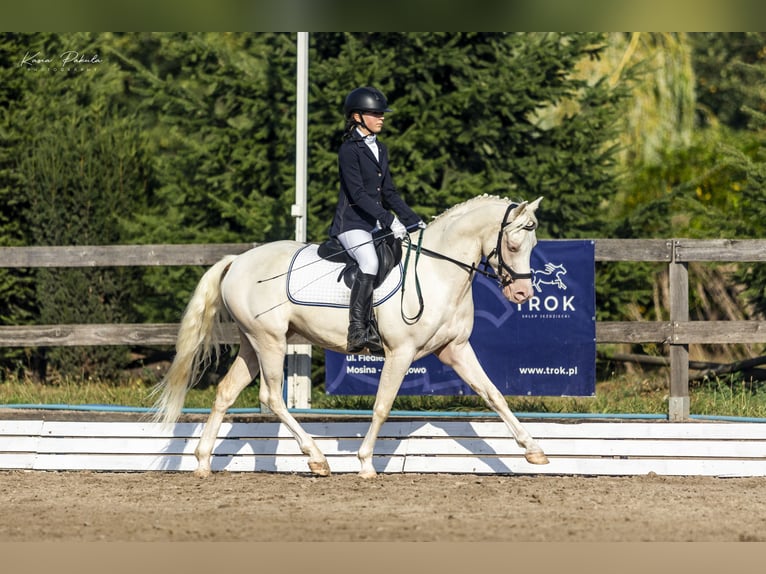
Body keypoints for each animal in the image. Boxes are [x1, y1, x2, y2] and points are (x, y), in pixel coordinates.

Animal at [154, 196, 552, 480]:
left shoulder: (454, 350)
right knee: (271, 398)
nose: (522, 294)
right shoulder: (400, 352)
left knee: (225, 392)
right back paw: (316, 459)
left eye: (533, 244)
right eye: (513, 246)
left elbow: (494, 395)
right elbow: (382, 406)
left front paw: (533, 450)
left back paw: (203, 463)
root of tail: (237, 261)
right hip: (270, 341)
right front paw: (365, 464)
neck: (438, 271)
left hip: (252, 343)